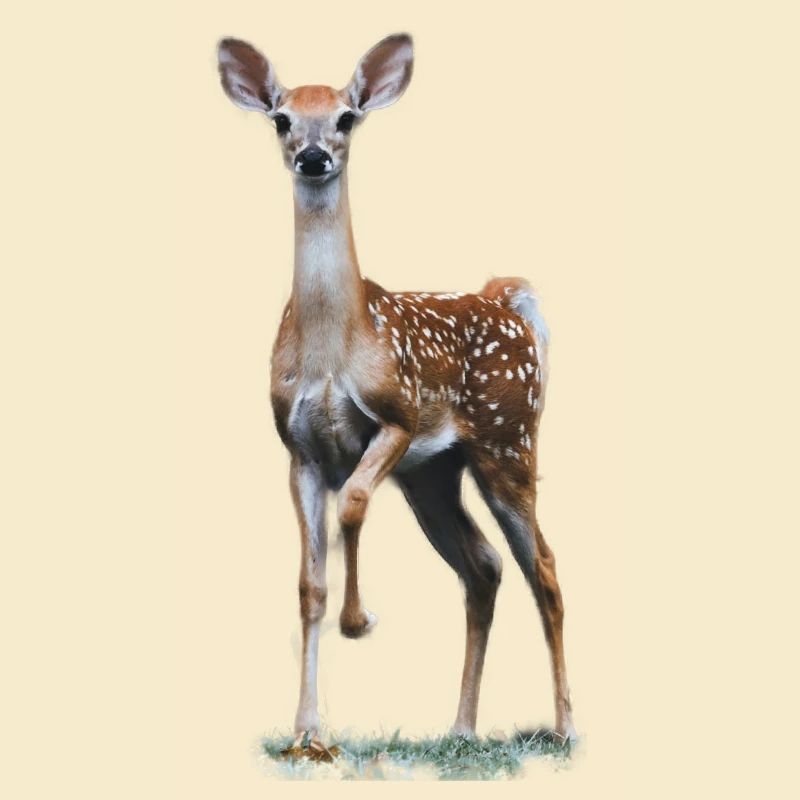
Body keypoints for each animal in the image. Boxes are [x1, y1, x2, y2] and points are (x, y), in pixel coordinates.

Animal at [217, 33, 576, 756]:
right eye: (282, 119)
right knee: (484, 566)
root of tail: (508, 301)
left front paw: (360, 619)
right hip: (435, 475)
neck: (333, 350)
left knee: (544, 568)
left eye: (347, 117)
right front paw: (307, 732)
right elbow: (309, 585)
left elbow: (354, 501)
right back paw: (460, 729)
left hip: (508, 441)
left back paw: (565, 726)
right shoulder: (298, 451)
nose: (315, 156)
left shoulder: (398, 417)